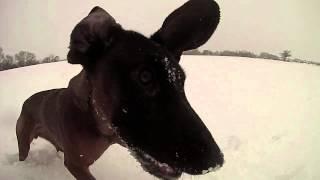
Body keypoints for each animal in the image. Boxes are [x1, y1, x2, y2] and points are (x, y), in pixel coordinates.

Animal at [16, 0, 224, 179]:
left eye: (182, 81)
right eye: (145, 77)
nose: (216, 161)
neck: (93, 121)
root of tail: (26, 101)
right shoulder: (75, 164)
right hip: (23, 142)